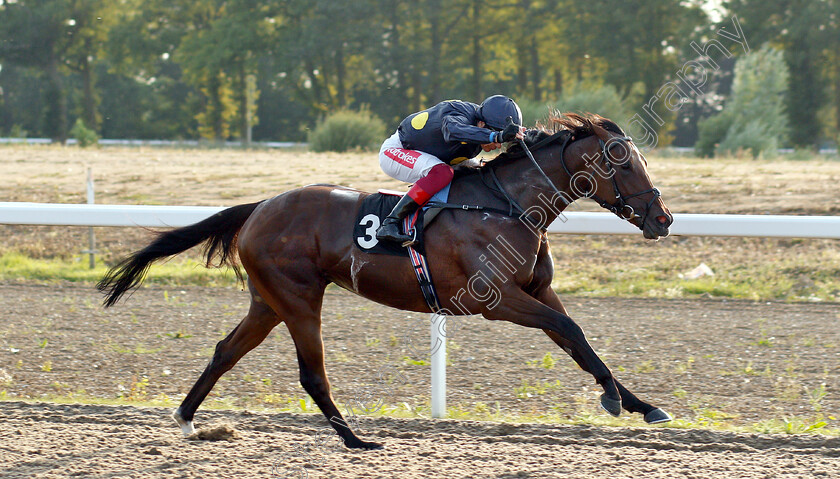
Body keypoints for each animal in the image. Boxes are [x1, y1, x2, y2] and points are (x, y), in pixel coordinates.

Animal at [98, 112, 676, 450]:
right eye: (624, 161)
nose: (663, 218)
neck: (507, 205)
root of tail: (261, 206)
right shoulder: (496, 300)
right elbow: (573, 331)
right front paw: (613, 400)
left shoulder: (536, 292)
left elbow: (578, 341)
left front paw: (642, 405)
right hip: (298, 297)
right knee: (311, 373)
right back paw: (357, 441)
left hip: (267, 302)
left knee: (225, 351)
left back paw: (188, 419)